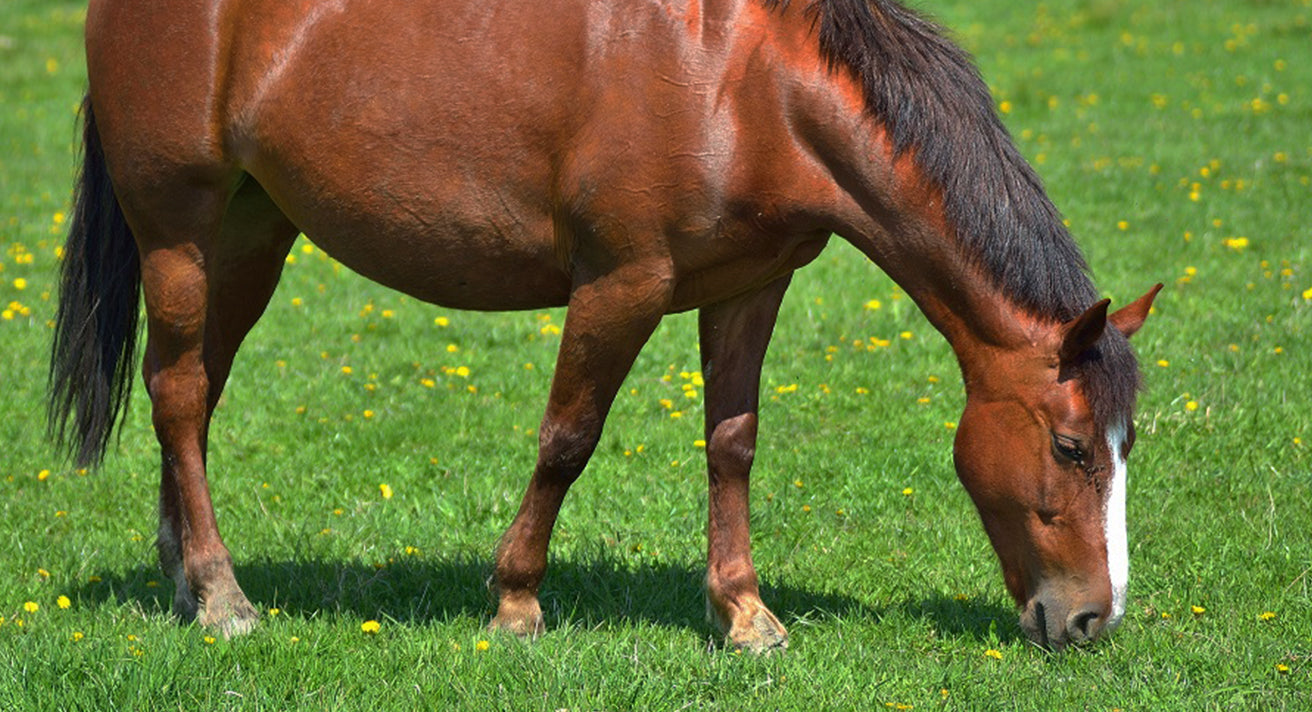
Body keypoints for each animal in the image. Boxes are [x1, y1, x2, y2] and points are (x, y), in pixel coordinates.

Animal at [50, 0, 1159, 651]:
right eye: (1070, 446)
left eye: (1126, 444)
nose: (1092, 617)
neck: (747, 84)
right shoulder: (621, 284)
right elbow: (567, 440)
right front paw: (515, 604)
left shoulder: (747, 288)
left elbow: (732, 444)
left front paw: (744, 613)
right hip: (178, 231)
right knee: (180, 395)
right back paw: (222, 595)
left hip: (250, 233)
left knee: (191, 395)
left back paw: (182, 575)